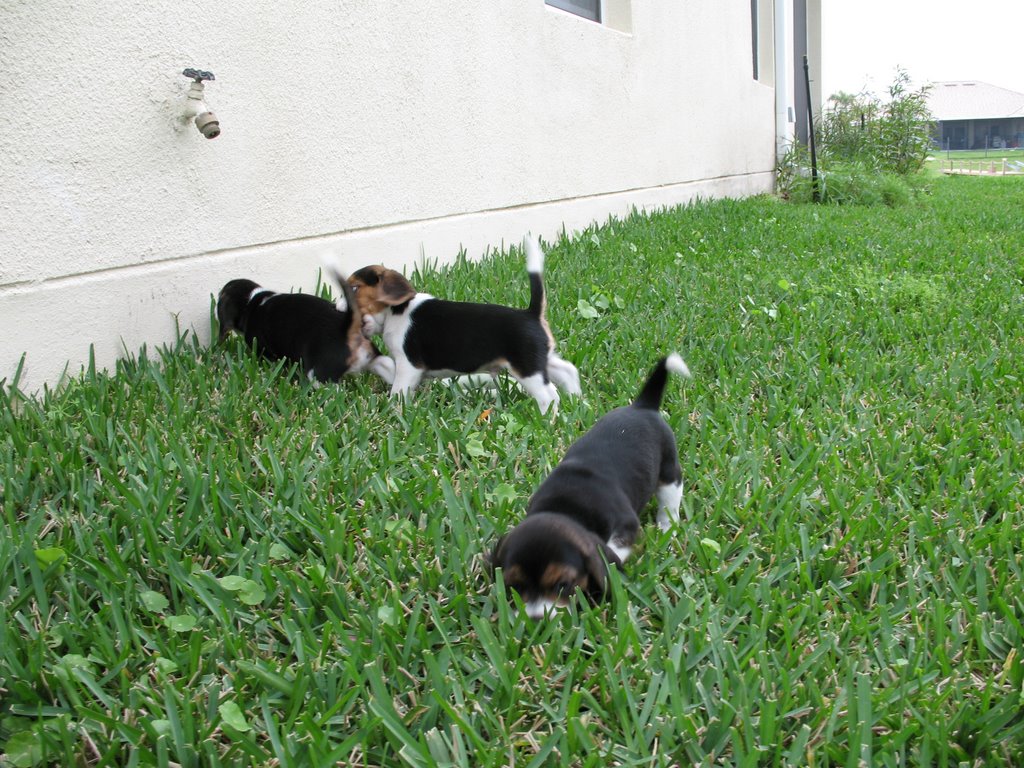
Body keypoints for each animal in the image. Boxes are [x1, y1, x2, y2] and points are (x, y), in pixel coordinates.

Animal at [216, 274, 395, 387]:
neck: (252, 301)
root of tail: (347, 327)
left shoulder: (262, 348)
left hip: (320, 375)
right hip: (373, 358)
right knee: (386, 365)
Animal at [348, 234, 581, 415]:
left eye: (354, 288)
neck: (397, 310)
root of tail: (531, 313)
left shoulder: (408, 365)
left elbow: (398, 390)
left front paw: (394, 408)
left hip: (526, 367)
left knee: (549, 395)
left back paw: (547, 418)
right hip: (540, 359)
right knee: (568, 371)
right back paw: (577, 402)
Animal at [491, 354, 692, 618]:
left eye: (562, 585)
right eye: (513, 586)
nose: (536, 620)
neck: (565, 508)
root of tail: (642, 406)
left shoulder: (626, 525)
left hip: (669, 473)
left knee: (670, 501)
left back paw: (666, 526)